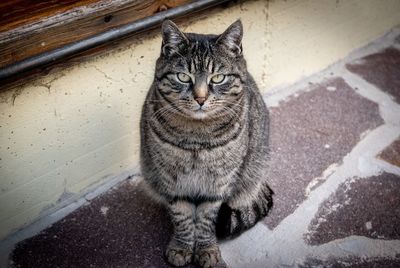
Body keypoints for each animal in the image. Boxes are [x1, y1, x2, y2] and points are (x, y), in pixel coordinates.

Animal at [139, 19, 274, 266]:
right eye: (183, 77)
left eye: (218, 78)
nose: (200, 98)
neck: (197, 137)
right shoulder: (172, 180)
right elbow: (182, 217)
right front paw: (181, 248)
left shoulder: (217, 183)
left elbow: (205, 221)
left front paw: (207, 251)